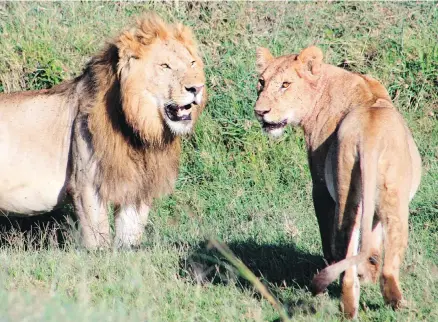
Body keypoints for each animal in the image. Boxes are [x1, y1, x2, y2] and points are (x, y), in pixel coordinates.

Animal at [0, 13, 207, 248]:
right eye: (165, 66)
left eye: (192, 63)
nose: (197, 88)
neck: (139, 129)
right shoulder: (86, 184)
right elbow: (98, 237)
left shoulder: (137, 186)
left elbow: (129, 237)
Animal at [253, 46, 420, 320]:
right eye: (262, 82)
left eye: (285, 84)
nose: (260, 112)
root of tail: (368, 135)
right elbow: (372, 241)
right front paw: (368, 273)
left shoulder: (319, 186)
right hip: (387, 199)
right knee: (380, 261)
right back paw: (387, 302)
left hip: (349, 192)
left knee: (347, 246)